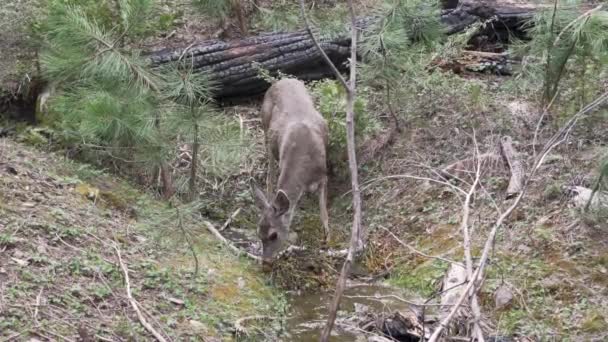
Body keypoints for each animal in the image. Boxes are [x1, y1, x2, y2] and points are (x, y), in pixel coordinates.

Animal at [251, 77, 330, 264]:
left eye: (273, 235)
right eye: (258, 233)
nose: (265, 261)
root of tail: (282, 80)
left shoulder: (323, 174)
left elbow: (323, 209)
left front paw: (327, 236)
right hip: (265, 127)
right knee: (270, 172)